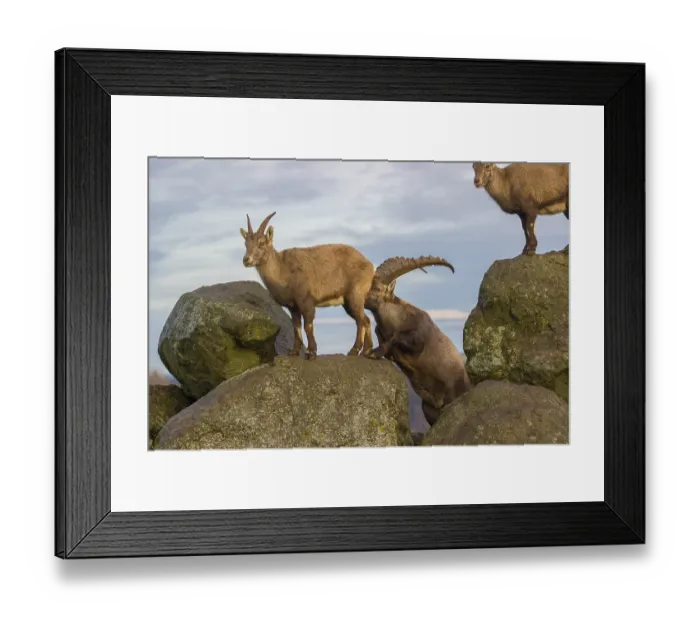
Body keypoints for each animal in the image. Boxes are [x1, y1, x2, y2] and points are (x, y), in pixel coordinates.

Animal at [240, 212, 374, 361]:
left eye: (261, 243)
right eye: (246, 243)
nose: (246, 259)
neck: (283, 269)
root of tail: (369, 264)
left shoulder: (306, 301)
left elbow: (308, 326)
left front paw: (311, 352)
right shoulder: (293, 306)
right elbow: (296, 327)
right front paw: (294, 352)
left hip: (354, 295)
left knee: (361, 320)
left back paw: (354, 350)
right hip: (348, 301)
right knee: (366, 320)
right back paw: (366, 351)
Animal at [364, 256, 471, 426]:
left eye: (378, 288)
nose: (360, 297)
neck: (398, 320)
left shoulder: (418, 339)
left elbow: (396, 338)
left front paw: (374, 353)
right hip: (428, 409)